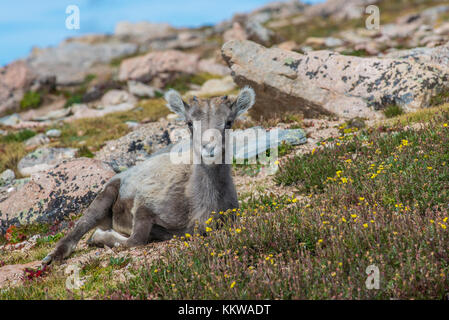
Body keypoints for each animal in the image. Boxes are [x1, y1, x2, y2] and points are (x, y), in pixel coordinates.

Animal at [44, 86, 258, 264]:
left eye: (229, 122)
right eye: (189, 123)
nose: (209, 149)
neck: (197, 205)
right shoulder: (144, 207)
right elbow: (135, 240)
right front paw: (97, 238)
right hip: (105, 197)